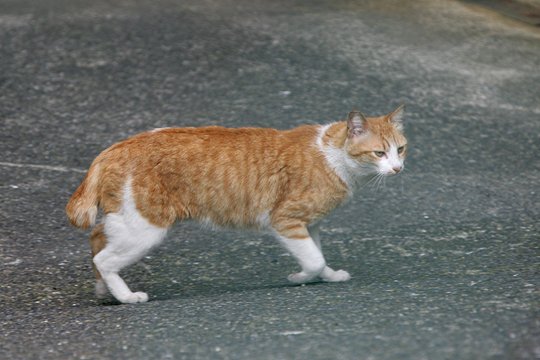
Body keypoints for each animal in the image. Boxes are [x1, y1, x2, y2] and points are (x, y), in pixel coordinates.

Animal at [65, 105, 408, 304]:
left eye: (401, 149)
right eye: (379, 153)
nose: (397, 169)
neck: (333, 156)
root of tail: (115, 147)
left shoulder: (310, 225)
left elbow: (319, 256)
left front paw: (328, 276)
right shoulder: (286, 220)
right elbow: (312, 259)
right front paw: (299, 278)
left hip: (124, 220)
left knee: (96, 239)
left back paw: (103, 291)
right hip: (144, 229)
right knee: (105, 260)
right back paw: (126, 296)